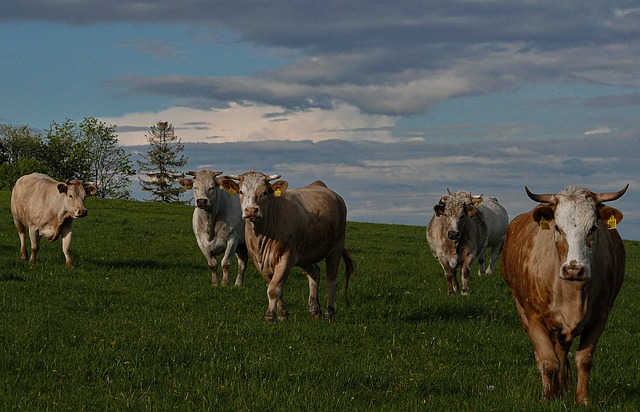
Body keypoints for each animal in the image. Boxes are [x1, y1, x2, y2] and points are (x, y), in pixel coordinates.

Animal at [221, 171, 356, 322]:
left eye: (264, 192)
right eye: (241, 191)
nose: (251, 210)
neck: (261, 236)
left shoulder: (286, 257)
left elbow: (274, 289)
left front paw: (270, 316)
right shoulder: (259, 262)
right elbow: (274, 285)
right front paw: (282, 314)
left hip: (336, 246)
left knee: (332, 280)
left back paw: (329, 314)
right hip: (305, 253)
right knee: (314, 272)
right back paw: (315, 310)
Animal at [500, 185, 624, 404]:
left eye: (593, 228)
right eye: (557, 227)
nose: (574, 270)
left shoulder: (600, 316)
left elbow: (583, 359)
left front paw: (582, 398)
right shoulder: (534, 317)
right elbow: (548, 360)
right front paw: (548, 396)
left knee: (562, 351)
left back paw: (562, 387)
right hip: (520, 306)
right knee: (544, 356)